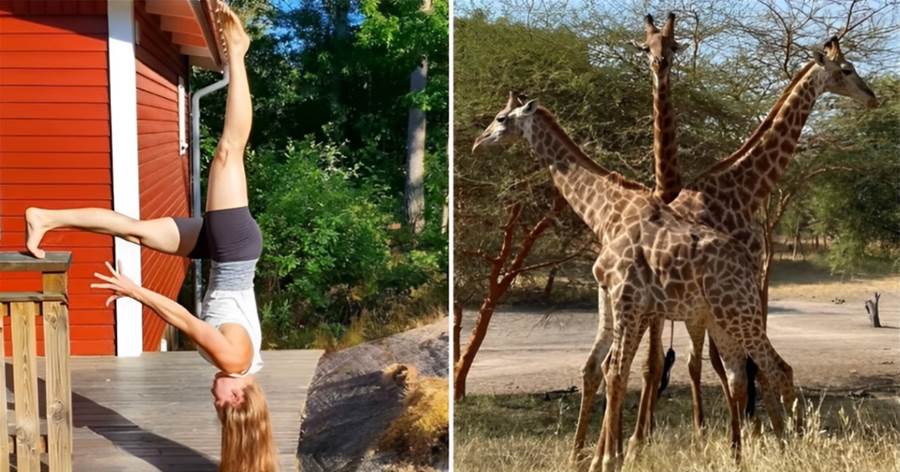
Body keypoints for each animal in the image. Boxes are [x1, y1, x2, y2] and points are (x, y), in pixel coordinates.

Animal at [472, 95, 796, 472]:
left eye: (500, 118)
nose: (479, 142)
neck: (604, 210)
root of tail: (748, 263)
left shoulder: (626, 298)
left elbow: (616, 372)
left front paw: (609, 458)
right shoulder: (617, 299)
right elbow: (608, 369)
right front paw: (602, 455)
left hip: (739, 313)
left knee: (777, 368)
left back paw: (794, 446)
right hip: (721, 318)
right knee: (740, 374)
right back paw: (743, 456)